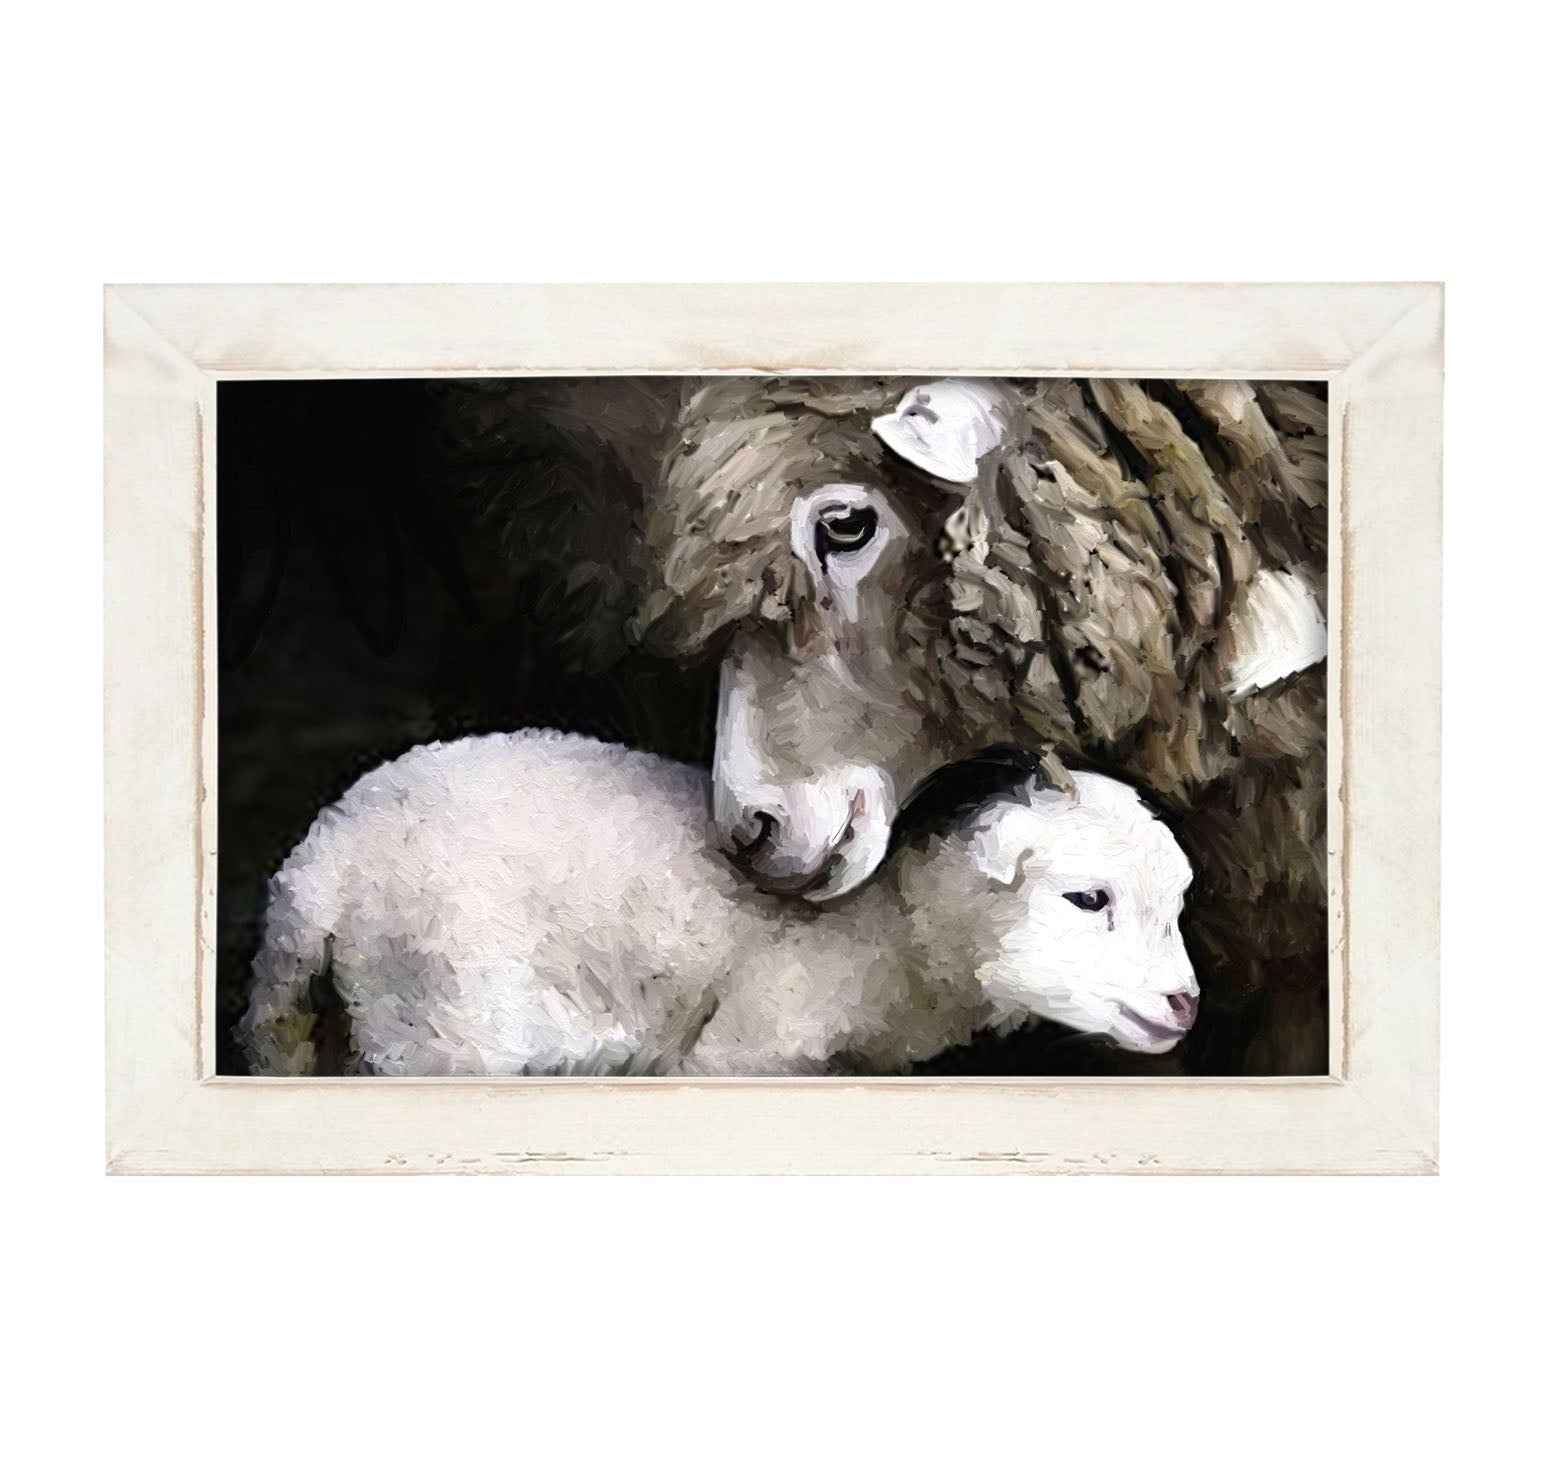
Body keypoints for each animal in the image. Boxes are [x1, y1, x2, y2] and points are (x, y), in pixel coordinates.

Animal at [238, 730, 1198, 1077]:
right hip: (444, 1020)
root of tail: (319, 864)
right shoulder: (748, 1048)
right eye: (1087, 898)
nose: (1185, 1006)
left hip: (325, 1023)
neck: (894, 934)